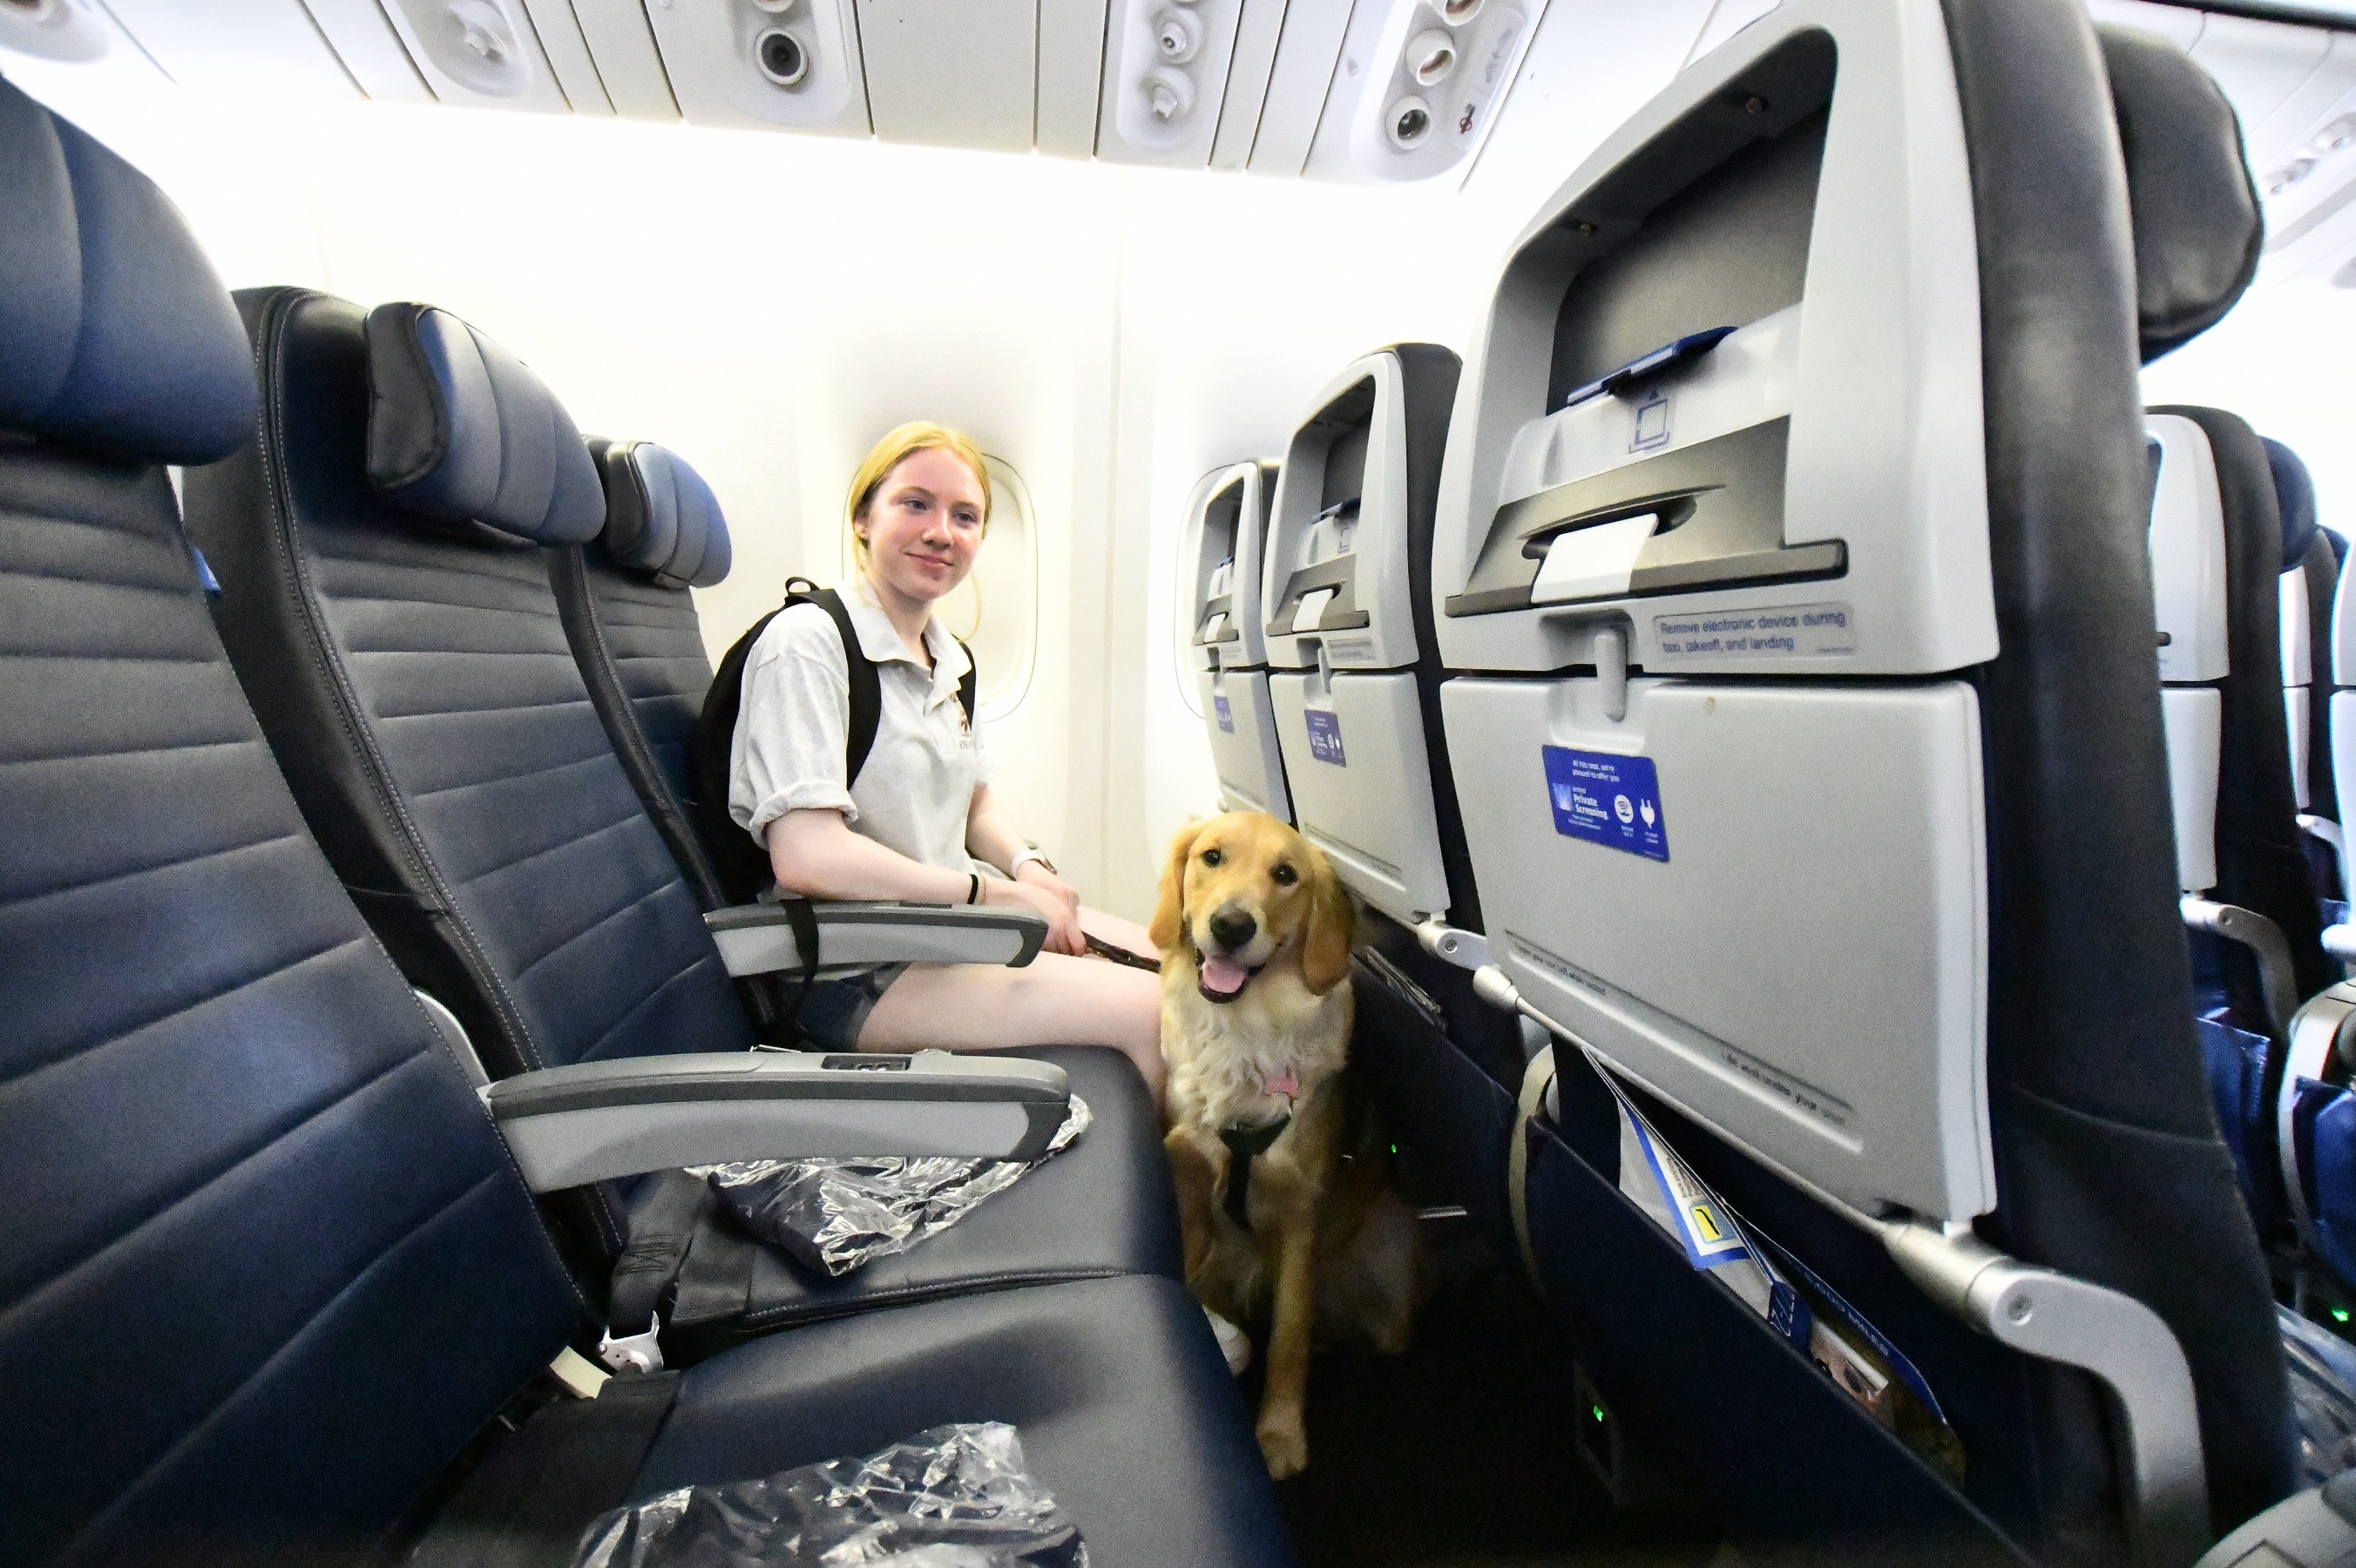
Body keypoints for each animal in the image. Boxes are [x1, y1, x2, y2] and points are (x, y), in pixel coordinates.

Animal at [1154, 809, 1413, 1469]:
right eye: (1212, 857)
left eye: (1285, 875)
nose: (1231, 926)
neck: (1246, 1028)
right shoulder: (1187, 1162)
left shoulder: (1300, 1214)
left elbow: (1289, 1335)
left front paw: (1279, 1436)